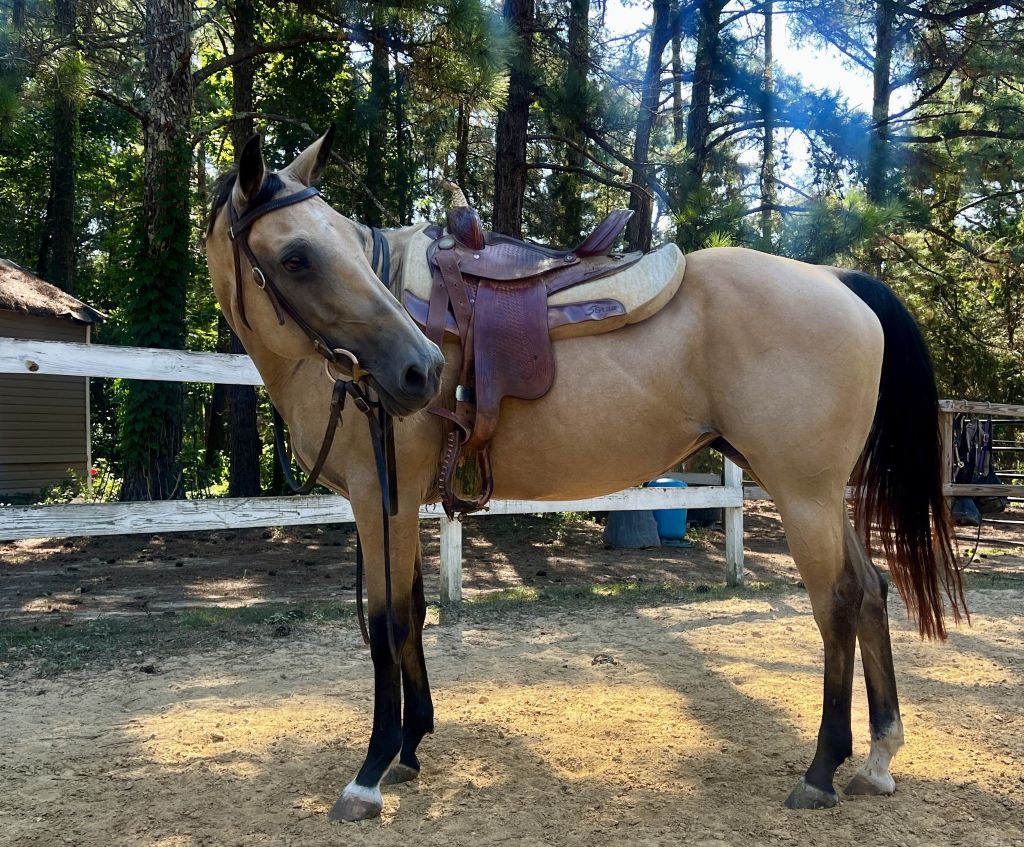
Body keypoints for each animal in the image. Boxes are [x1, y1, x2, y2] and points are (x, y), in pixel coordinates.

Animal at [203, 129, 966, 822]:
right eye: (297, 255)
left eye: (330, 248)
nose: (419, 369)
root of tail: (836, 279)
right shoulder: (401, 502)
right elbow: (415, 614)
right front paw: (412, 747)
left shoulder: (378, 499)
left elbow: (387, 623)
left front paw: (370, 772)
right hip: (817, 490)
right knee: (871, 589)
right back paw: (878, 757)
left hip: (803, 492)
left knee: (836, 602)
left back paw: (822, 768)